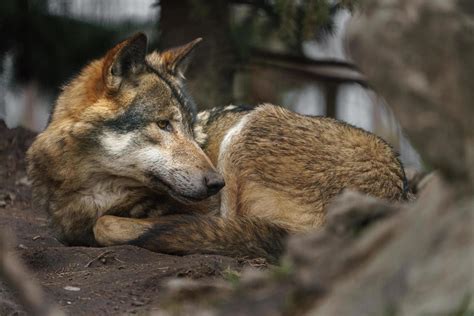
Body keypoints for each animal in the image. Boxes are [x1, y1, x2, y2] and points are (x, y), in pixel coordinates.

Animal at [26, 33, 408, 262]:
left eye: (189, 126)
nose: (215, 183)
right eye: (164, 124)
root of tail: (397, 189)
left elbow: (104, 223)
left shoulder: (204, 210)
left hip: (248, 129)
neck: (93, 189)